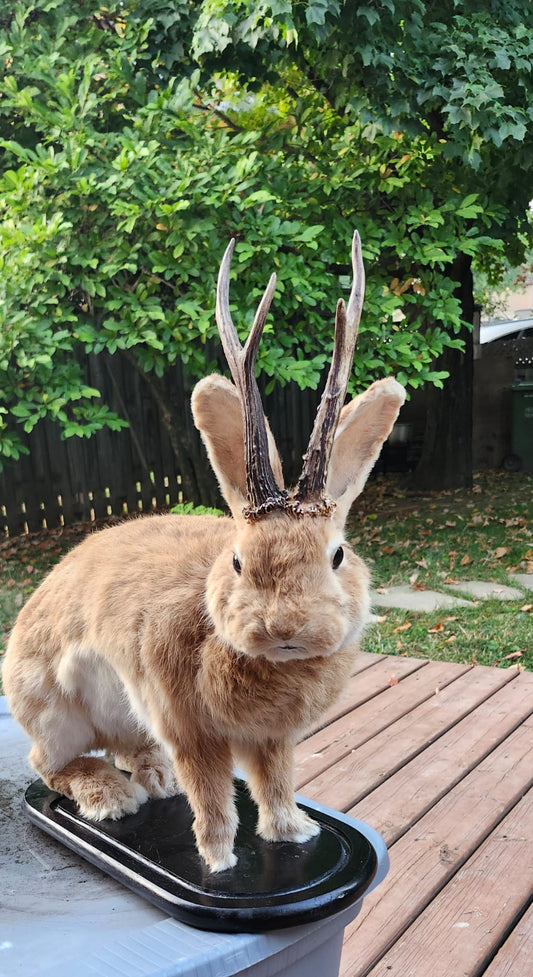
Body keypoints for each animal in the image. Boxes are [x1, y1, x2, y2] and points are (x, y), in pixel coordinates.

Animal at [2, 232, 405, 872]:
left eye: (337, 556)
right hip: (55, 714)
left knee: (125, 748)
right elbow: (214, 793)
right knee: (47, 765)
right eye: (238, 560)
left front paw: (295, 835)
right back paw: (112, 797)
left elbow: (276, 782)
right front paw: (218, 859)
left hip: (127, 717)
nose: (285, 627)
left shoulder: (272, 739)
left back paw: (153, 777)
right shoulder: (190, 728)